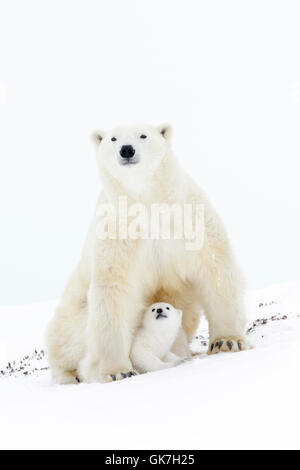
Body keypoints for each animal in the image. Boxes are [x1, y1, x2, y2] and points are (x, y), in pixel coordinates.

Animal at [45, 123, 250, 384]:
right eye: (113, 138)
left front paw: (227, 341)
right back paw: (74, 374)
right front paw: (118, 371)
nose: (127, 149)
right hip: (71, 316)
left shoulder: (187, 214)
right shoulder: (118, 231)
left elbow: (214, 265)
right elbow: (114, 291)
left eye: (143, 134)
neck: (149, 203)